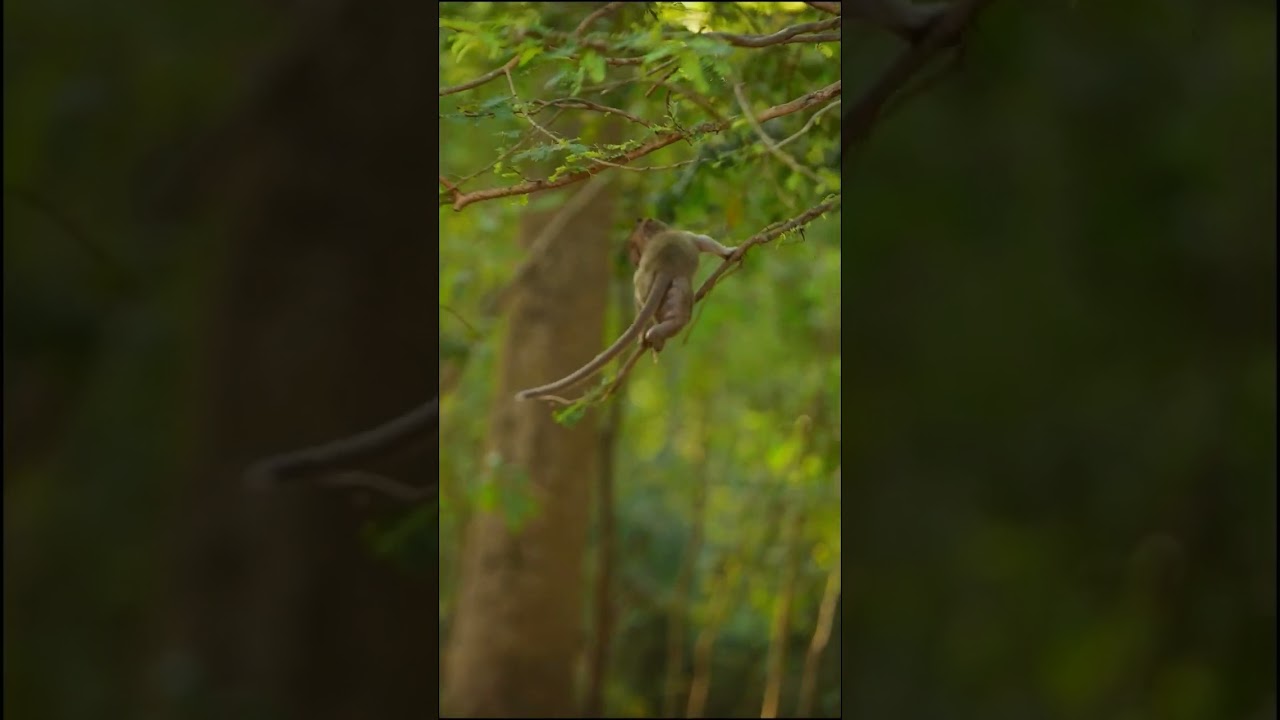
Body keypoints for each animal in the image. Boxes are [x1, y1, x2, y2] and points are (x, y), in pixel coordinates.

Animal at [514, 218, 735, 401]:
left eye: (634, 247)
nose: (634, 259)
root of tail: (664, 268)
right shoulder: (687, 235)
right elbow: (705, 241)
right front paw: (730, 252)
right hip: (680, 284)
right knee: (681, 317)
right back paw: (657, 333)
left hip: (656, 289)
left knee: (647, 304)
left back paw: (650, 335)